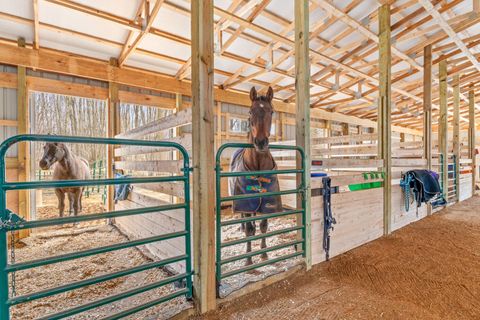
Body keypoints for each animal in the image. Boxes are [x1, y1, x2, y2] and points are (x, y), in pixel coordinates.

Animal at [229, 85, 282, 264]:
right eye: (250, 111)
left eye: (271, 111)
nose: (260, 142)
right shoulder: (245, 202)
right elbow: (250, 229)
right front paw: (248, 259)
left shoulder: (267, 201)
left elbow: (263, 226)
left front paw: (264, 254)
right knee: (245, 221)